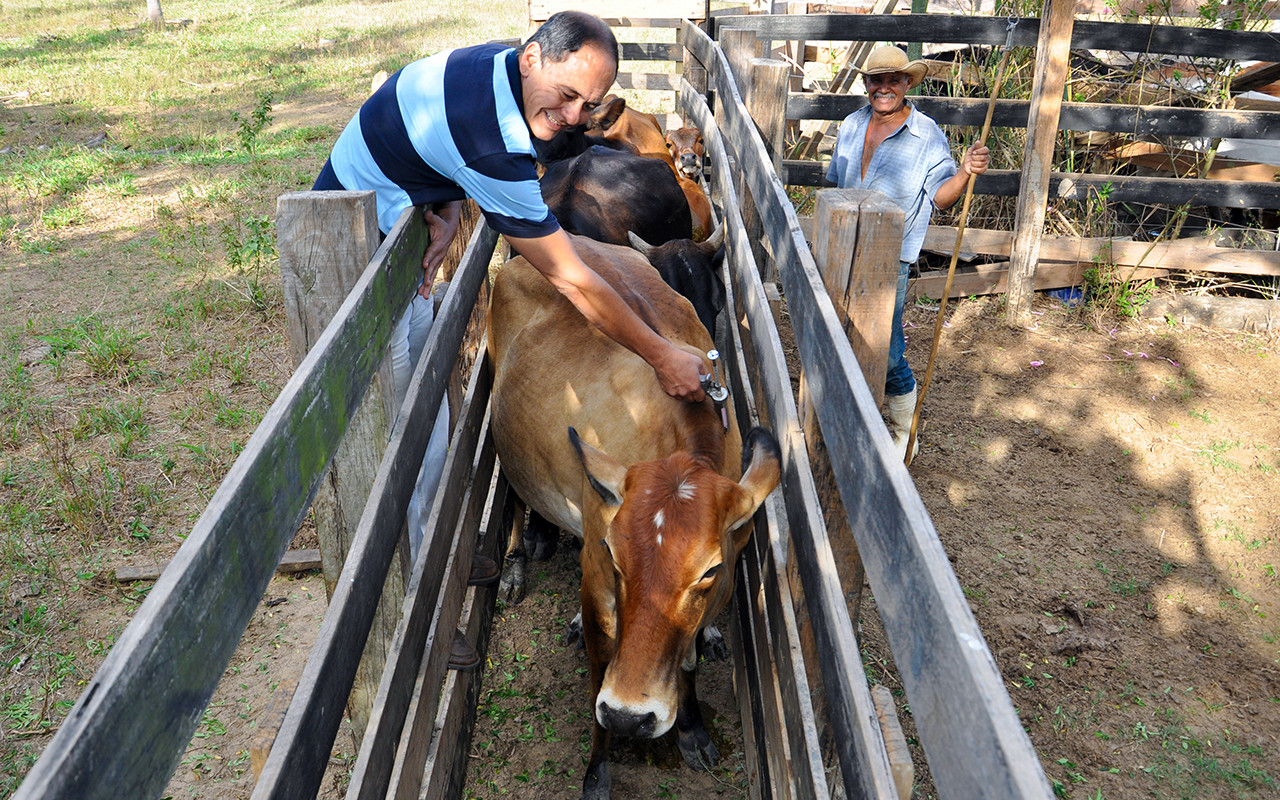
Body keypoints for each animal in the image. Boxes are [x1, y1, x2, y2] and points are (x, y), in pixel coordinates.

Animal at [486, 232, 778, 798]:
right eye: (616, 557)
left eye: (708, 570)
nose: (630, 716)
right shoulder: (595, 576)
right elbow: (601, 665)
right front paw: (598, 768)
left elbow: (687, 658)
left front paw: (692, 730)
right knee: (511, 495)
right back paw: (513, 565)